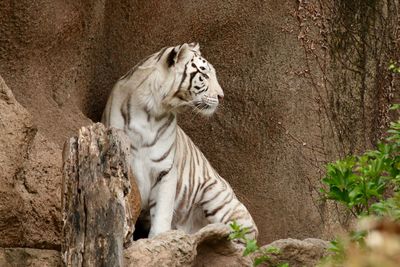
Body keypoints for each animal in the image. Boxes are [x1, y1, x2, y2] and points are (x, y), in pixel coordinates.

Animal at [103, 43, 258, 240]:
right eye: (204, 75)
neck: (150, 111)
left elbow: (162, 213)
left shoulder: (166, 170)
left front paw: (158, 241)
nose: (222, 96)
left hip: (216, 195)